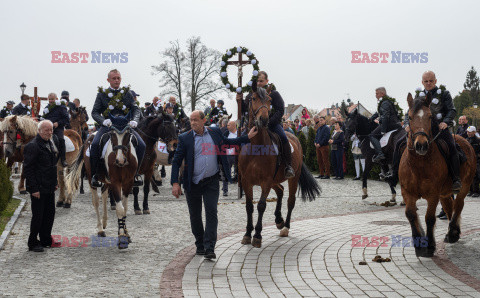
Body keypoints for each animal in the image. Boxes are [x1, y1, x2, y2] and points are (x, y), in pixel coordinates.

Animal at [238, 81, 320, 247]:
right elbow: (249, 206)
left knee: (290, 201)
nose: (264, 120)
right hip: (275, 180)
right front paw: (247, 234)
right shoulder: (246, 181)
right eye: (253, 98)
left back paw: (285, 227)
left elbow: (261, 205)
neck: (256, 147)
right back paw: (278, 220)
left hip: (292, 178)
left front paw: (257, 235)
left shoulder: (266, 181)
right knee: (281, 191)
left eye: (269, 100)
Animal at [400, 92, 474, 258]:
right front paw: (418, 243)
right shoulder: (407, 192)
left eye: (429, 116)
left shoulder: (433, 194)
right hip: (445, 193)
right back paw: (453, 232)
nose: (421, 145)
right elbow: (410, 214)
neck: (418, 165)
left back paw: (452, 233)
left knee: (458, 205)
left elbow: (429, 218)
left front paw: (429, 246)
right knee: (449, 207)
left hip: (464, 187)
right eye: (410, 117)